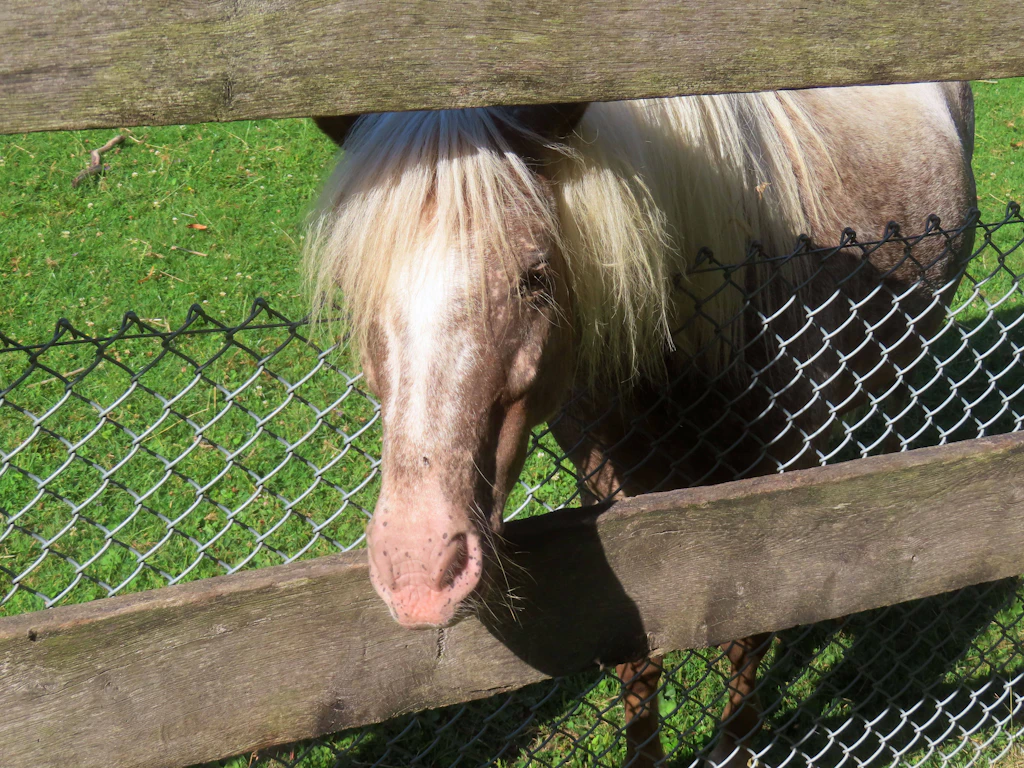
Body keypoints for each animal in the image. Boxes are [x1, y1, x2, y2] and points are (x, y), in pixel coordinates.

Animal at [305, 83, 976, 767]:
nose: (419, 570)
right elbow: (636, 657)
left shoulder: (780, 484)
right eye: (354, 290)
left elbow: (751, 629)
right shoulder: (607, 481)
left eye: (535, 276)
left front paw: (734, 746)